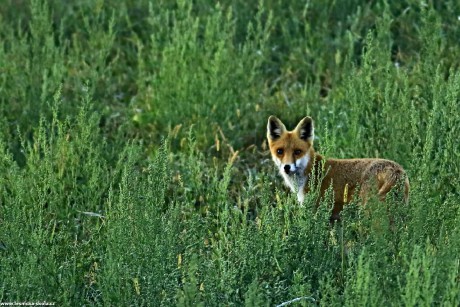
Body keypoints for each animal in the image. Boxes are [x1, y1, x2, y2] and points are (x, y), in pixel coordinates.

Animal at [266, 115, 410, 221]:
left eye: (297, 151)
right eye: (280, 151)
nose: (287, 167)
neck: (311, 173)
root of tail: (396, 169)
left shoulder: (317, 212)